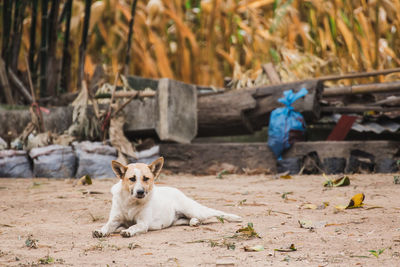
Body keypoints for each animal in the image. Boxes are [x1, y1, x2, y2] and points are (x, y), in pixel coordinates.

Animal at [92, 157, 241, 239]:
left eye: (146, 178)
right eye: (132, 179)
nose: (140, 192)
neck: (130, 202)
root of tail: (176, 190)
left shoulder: (143, 223)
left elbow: (134, 226)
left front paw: (128, 231)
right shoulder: (115, 220)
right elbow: (106, 226)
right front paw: (100, 231)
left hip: (194, 210)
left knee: (214, 214)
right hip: (177, 220)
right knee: (189, 220)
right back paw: (194, 222)